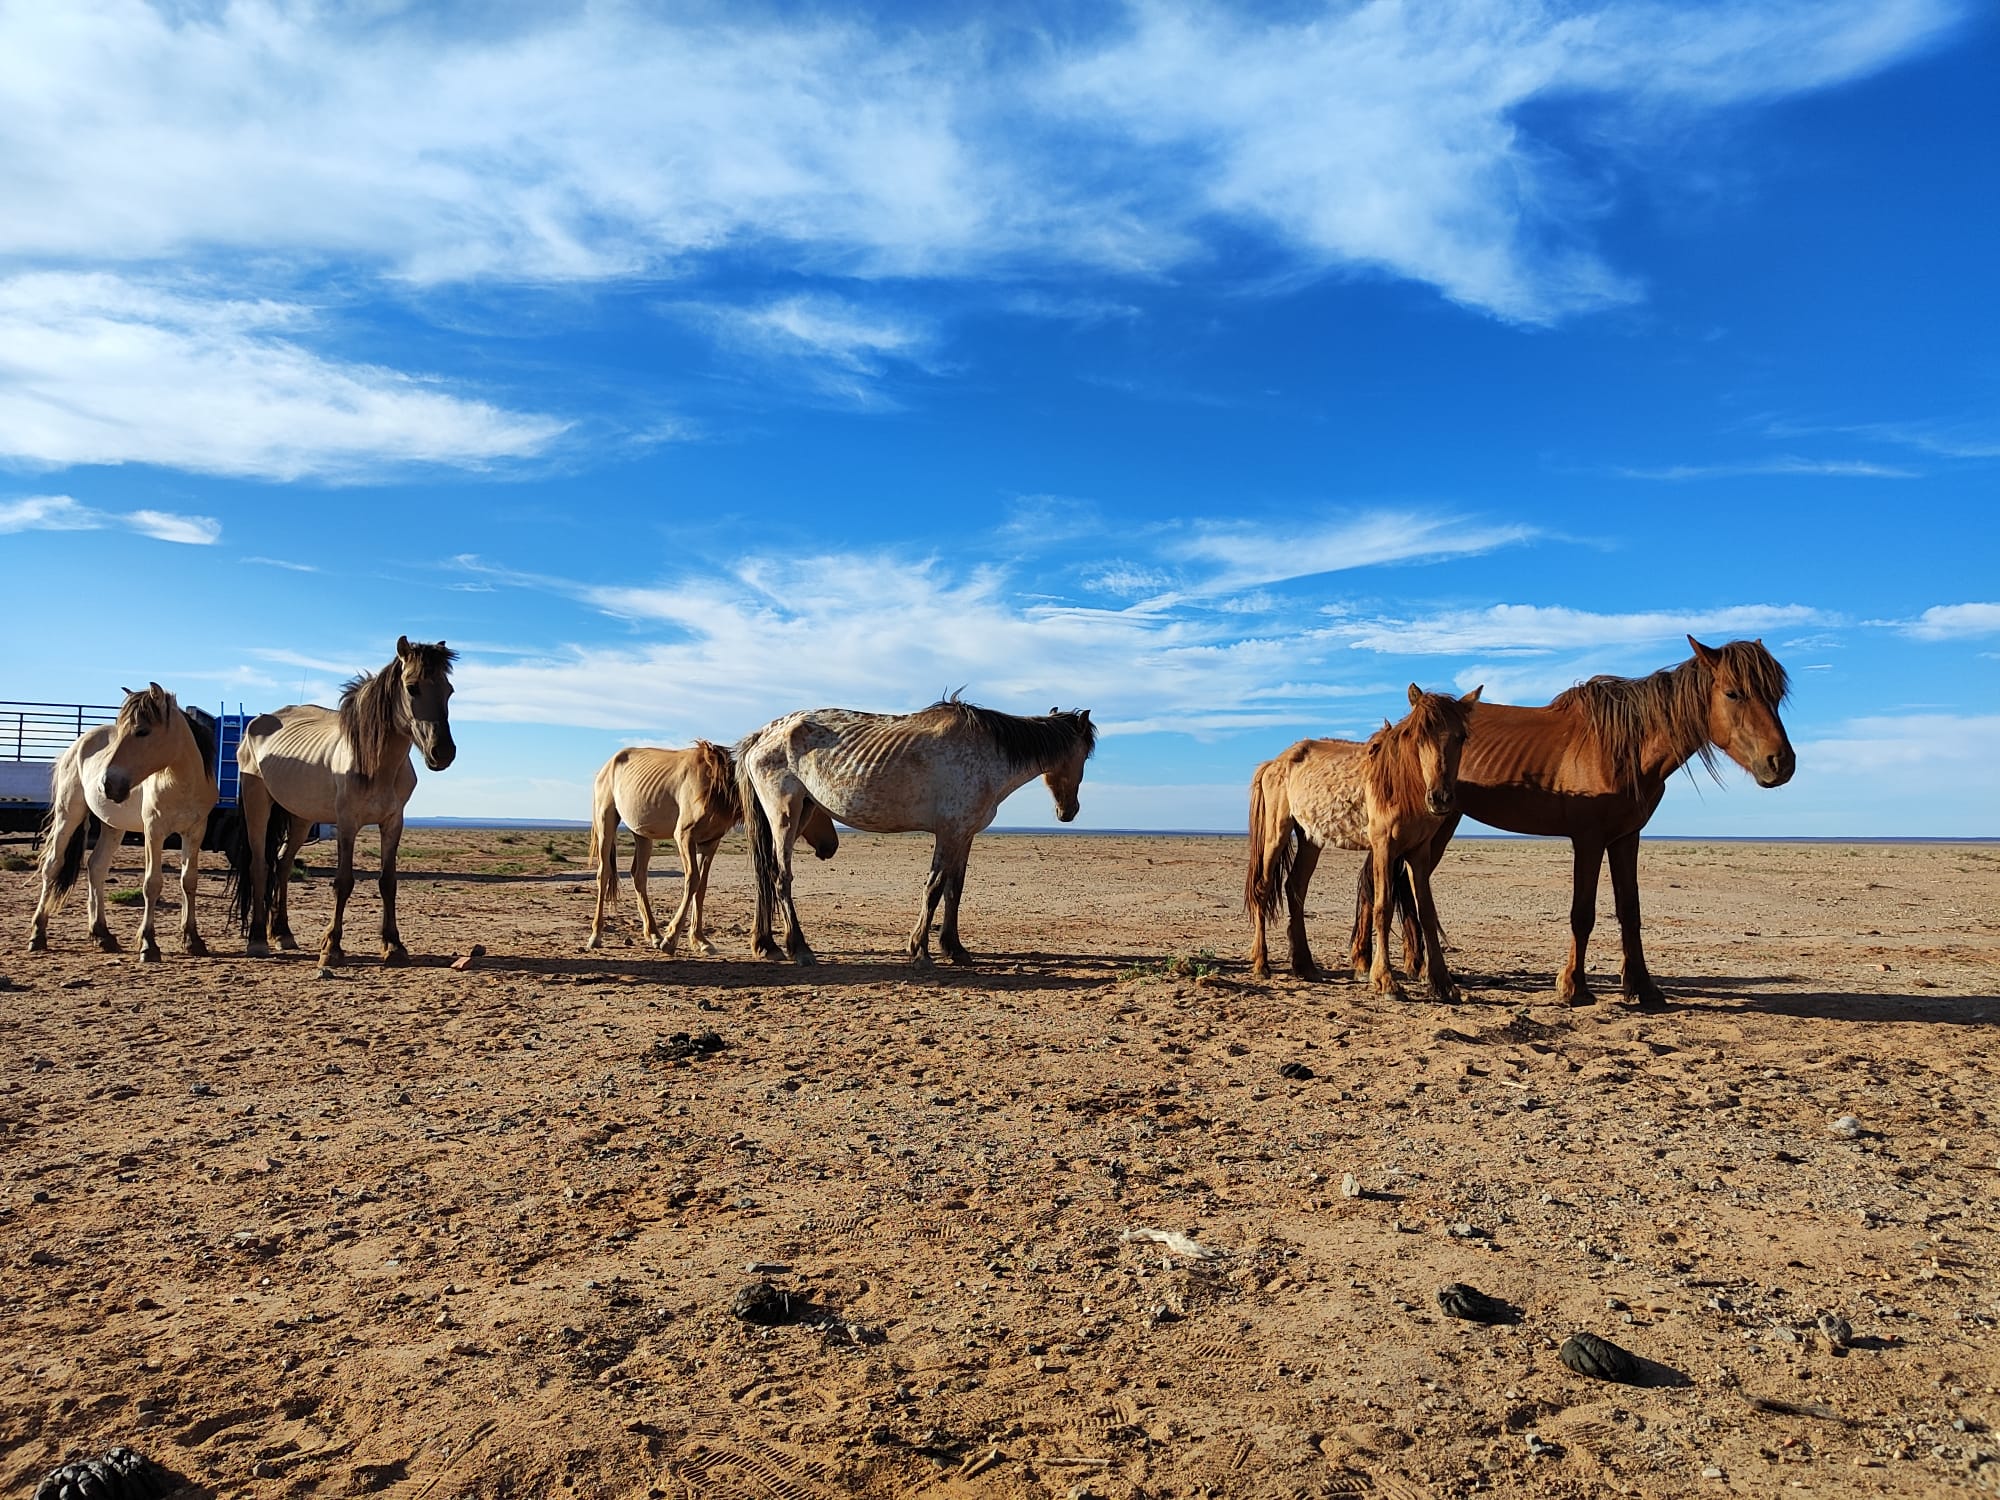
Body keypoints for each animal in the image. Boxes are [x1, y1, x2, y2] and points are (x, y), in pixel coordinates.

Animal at [28, 684, 219, 964]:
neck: (180, 783)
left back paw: (101, 935)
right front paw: (148, 944)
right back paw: (38, 934)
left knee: (96, 867)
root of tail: (77, 745)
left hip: (113, 826)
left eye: (142, 731)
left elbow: (189, 882)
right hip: (68, 815)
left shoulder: (195, 832)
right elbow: (152, 884)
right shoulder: (154, 832)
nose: (107, 784)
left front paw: (193, 940)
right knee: (52, 866)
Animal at [228, 636, 458, 968]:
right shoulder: (348, 823)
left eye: (448, 690)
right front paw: (332, 947)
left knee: (282, 865)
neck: (377, 765)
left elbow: (388, 882)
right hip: (257, 803)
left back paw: (283, 933)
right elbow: (344, 882)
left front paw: (393, 945)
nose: (443, 753)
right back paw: (258, 938)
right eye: (412, 687)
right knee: (260, 865)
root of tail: (256, 724)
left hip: (301, 817)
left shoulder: (393, 823)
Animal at [744, 700, 1104, 968]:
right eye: (1084, 755)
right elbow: (934, 888)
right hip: (785, 817)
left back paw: (767, 945)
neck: (988, 752)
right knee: (780, 878)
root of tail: (763, 734)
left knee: (765, 876)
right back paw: (800, 949)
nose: (1068, 811)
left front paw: (954, 948)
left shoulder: (964, 835)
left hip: (801, 813)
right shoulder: (948, 833)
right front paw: (920, 950)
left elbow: (954, 890)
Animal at [1240, 684, 1480, 1000]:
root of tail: (1274, 763)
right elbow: (1383, 908)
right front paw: (1385, 981)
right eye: (1418, 737)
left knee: (1295, 887)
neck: (1401, 784)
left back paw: (1306, 966)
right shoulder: (1384, 848)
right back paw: (1261, 963)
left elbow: (1426, 912)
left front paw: (1443, 983)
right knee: (1263, 887)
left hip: (1310, 838)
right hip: (1276, 833)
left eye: (1460, 737)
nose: (1440, 798)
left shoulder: (1419, 852)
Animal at [1360, 636, 1800, 1012]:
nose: (1782, 763)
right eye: (1733, 693)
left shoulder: (1626, 837)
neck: (1623, 747)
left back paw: (1414, 968)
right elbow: (1582, 912)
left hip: (1439, 823)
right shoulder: (1588, 839)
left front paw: (1642, 988)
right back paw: (1379, 967)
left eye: (1776, 695)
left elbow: (1630, 910)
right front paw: (1574, 986)